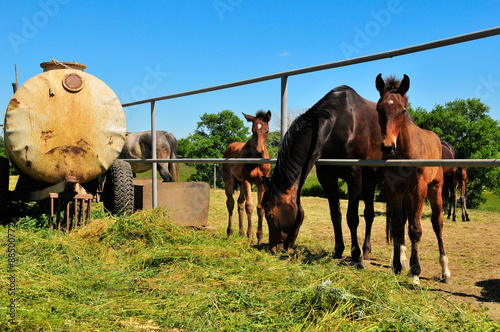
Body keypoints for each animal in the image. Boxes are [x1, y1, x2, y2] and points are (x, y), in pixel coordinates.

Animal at [223, 110, 272, 245]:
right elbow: (249, 206)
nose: (260, 152)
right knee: (230, 202)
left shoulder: (261, 183)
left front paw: (259, 239)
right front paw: (251, 238)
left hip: (240, 182)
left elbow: (260, 207)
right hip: (230, 180)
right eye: (253, 131)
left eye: (267, 131)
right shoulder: (247, 181)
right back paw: (230, 233)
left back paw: (241, 233)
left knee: (240, 203)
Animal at [260, 84, 384, 268]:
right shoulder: (327, 178)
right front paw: (338, 250)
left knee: (372, 216)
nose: (273, 249)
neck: (338, 124)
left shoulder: (354, 176)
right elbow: (335, 215)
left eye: (269, 215)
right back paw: (366, 252)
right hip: (369, 183)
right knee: (369, 214)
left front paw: (355, 256)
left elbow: (352, 218)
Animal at [376, 74, 452, 284]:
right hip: (408, 196)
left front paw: (416, 271)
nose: (388, 146)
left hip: (434, 189)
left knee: (437, 223)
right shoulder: (393, 189)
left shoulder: (419, 189)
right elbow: (397, 227)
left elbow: (416, 229)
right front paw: (397, 266)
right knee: (406, 221)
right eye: (379, 109)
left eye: (403, 110)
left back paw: (445, 271)